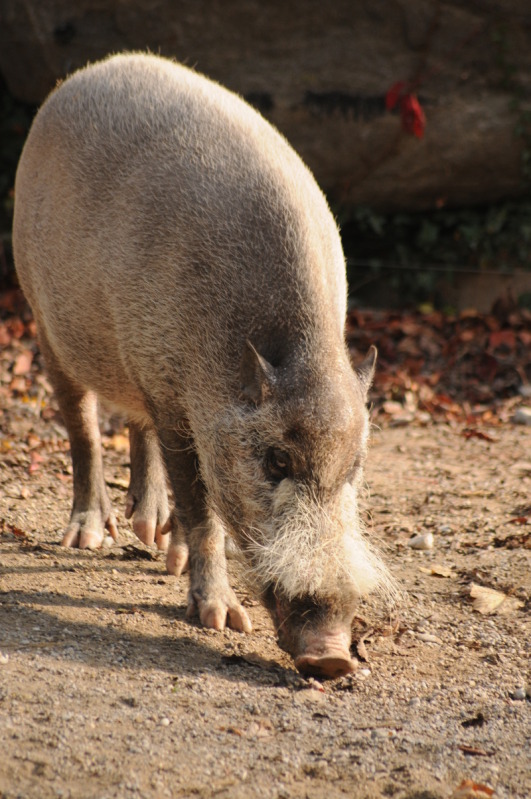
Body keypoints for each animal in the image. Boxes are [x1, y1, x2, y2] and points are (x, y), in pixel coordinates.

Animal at [13, 53, 395, 678]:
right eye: (276, 460)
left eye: (355, 467)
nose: (334, 659)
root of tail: (91, 71)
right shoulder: (175, 397)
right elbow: (202, 508)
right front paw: (222, 622)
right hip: (44, 317)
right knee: (82, 424)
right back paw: (88, 538)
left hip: (129, 357)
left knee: (131, 422)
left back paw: (151, 537)